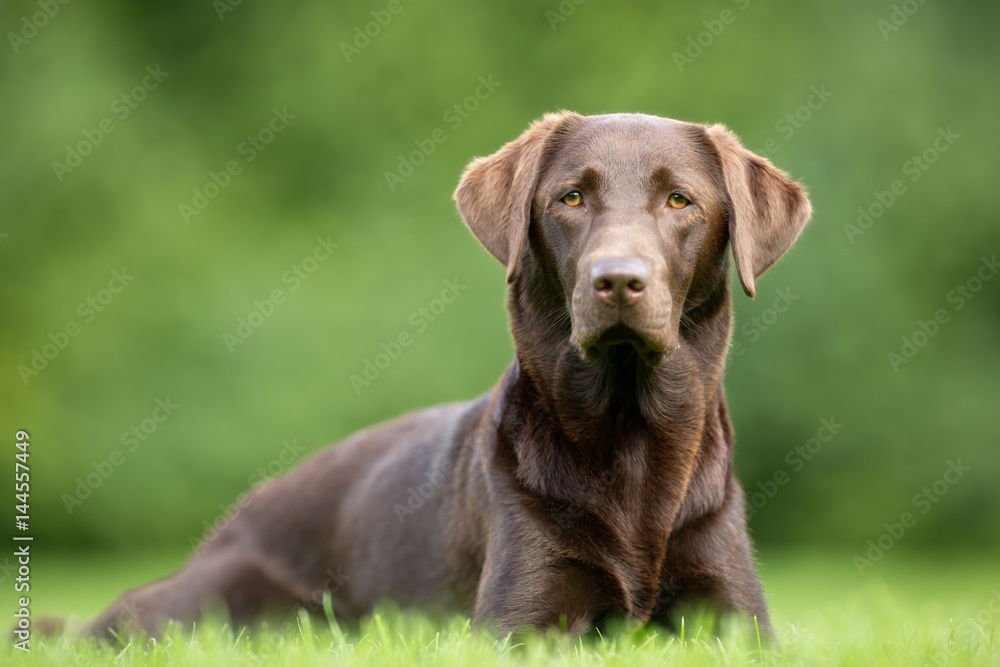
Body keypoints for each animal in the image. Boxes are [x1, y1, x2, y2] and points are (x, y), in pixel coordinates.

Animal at [78, 112, 812, 640]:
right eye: (571, 197)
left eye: (680, 200)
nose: (617, 281)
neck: (629, 442)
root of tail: (230, 522)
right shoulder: (519, 620)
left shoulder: (738, 619)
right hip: (229, 603)